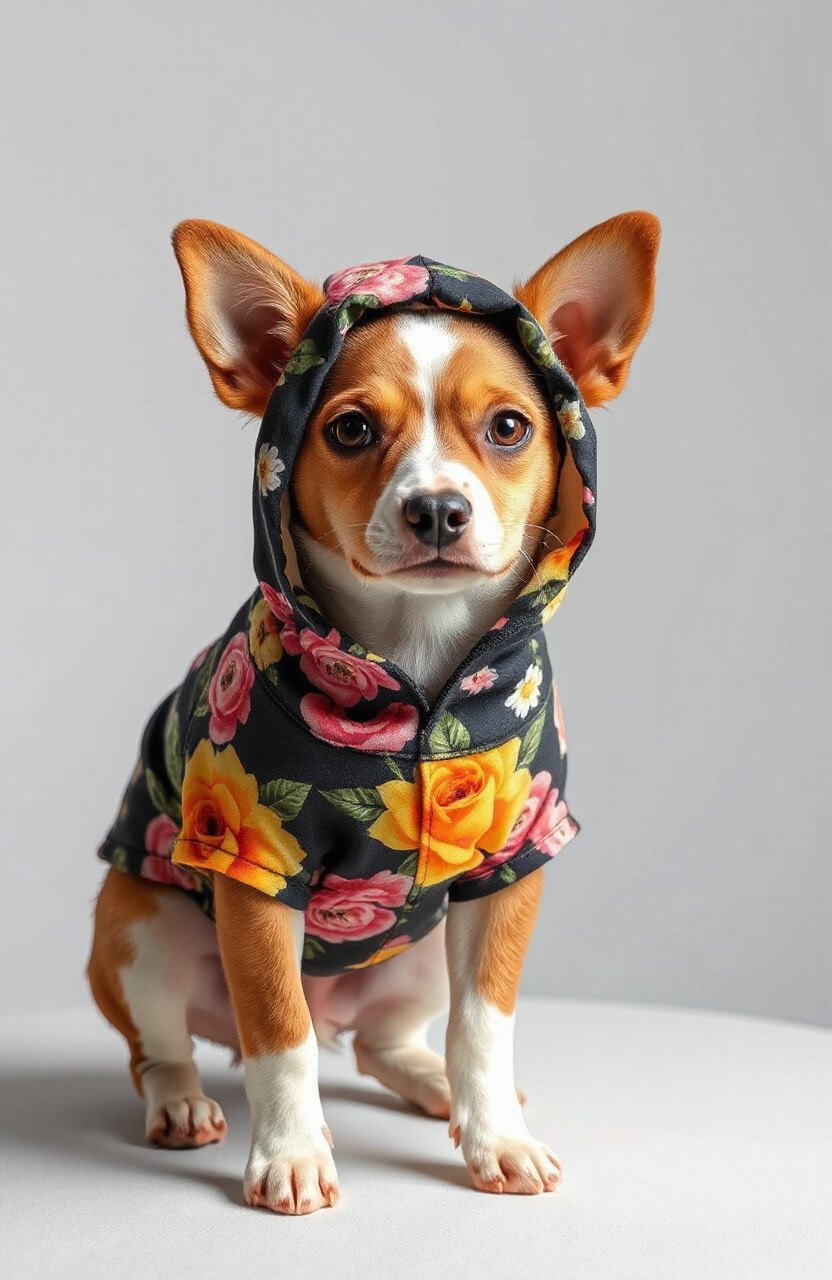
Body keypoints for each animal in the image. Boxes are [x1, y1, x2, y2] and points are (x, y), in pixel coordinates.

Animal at [88, 213, 659, 1214]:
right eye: (351, 429)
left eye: (508, 427)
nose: (437, 509)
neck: (421, 671)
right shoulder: (254, 872)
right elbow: (278, 1033)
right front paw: (290, 1154)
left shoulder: (511, 867)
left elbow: (485, 1025)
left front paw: (497, 1137)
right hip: (141, 931)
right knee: (168, 1049)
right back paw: (184, 1105)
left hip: (423, 954)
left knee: (384, 1044)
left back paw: (441, 1090)